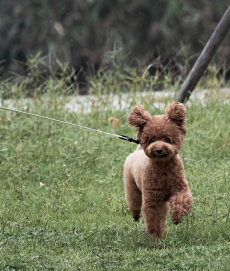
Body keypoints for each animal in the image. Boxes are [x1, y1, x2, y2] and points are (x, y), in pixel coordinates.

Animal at [124, 101, 192, 240]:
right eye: (152, 140)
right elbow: (154, 218)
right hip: (132, 187)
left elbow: (182, 200)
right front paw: (156, 236)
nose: (159, 150)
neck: (163, 168)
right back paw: (135, 216)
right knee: (134, 202)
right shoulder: (153, 199)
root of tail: (138, 151)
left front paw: (176, 218)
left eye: (167, 139)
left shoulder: (181, 188)